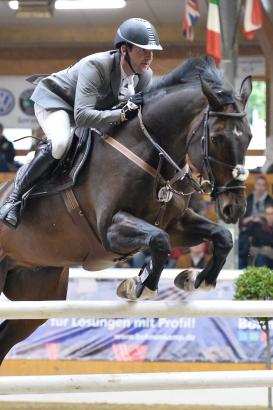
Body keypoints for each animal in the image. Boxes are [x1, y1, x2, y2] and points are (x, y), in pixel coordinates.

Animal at [0, 56, 251, 362]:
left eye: (249, 137)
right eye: (216, 138)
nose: (234, 208)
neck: (151, 153)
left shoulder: (176, 224)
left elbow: (220, 237)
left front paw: (195, 279)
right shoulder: (110, 229)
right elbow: (159, 241)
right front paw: (140, 285)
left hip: (37, 291)